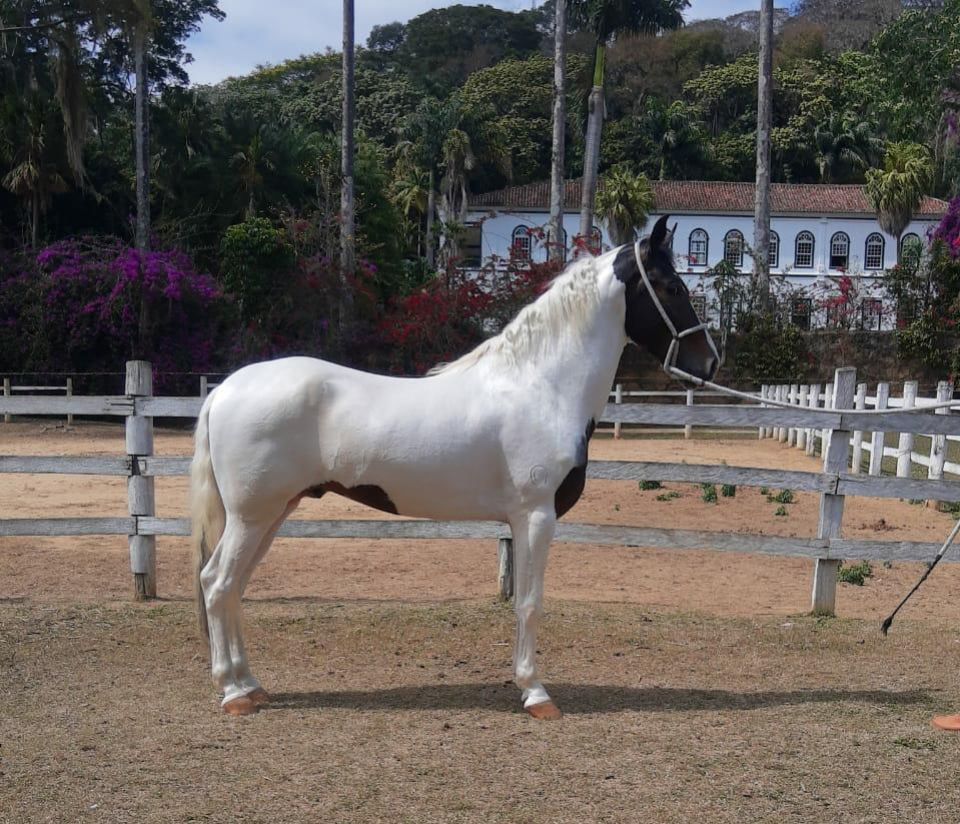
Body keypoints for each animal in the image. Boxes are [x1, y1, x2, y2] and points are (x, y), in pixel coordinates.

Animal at [191, 214, 719, 718]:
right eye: (672, 287)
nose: (709, 363)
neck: (542, 387)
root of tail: (224, 390)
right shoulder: (535, 517)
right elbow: (530, 603)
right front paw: (535, 693)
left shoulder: (523, 520)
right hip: (252, 516)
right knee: (217, 584)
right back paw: (233, 693)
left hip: (272, 514)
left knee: (233, 587)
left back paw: (249, 685)